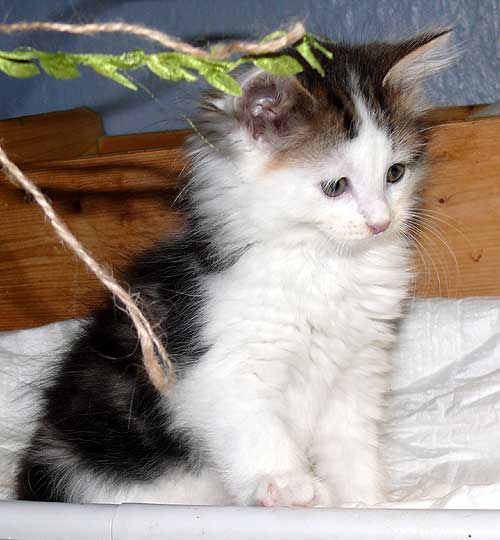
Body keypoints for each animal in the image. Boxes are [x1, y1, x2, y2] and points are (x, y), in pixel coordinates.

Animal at [15, 29, 454, 506]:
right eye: (336, 186)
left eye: (395, 173)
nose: (381, 222)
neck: (325, 263)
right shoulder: (217, 364)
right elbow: (256, 429)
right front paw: (287, 483)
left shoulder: (357, 366)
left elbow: (351, 443)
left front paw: (366, 501)